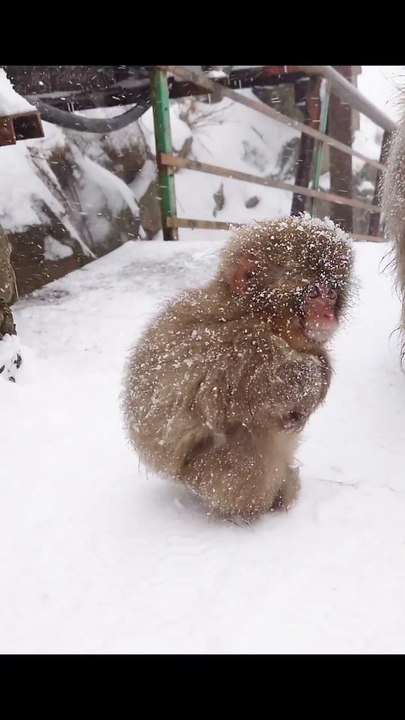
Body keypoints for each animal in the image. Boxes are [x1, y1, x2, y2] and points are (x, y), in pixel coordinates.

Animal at [121, 215, 354, 520]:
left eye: (331, 293)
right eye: (313, 292)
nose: (328, 315)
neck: (254, 315)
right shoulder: (238, 347)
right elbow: (258, 390)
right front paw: (315, 377)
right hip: (205, 473)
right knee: (253, 431)